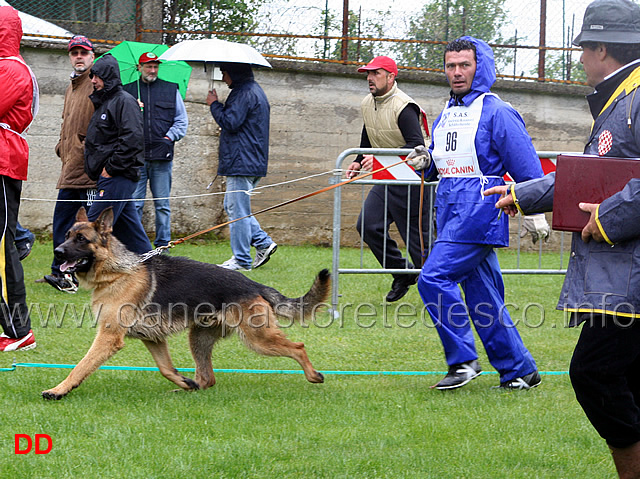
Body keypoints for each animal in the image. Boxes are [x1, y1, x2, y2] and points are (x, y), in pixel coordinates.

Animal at [42, 208, 330, 400]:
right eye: (67, 235)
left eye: (81, 240)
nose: (57, 252)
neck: (117, 271)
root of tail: (253, 284)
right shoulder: (153, 338)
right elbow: (166, 368)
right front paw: (183, 381)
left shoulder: (108, 337)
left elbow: (81, 366)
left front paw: (58, 390)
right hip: (199, 338)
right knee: (207, 377)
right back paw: (188, 389)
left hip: (258, 338)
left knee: (298, 347)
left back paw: (313, 375)